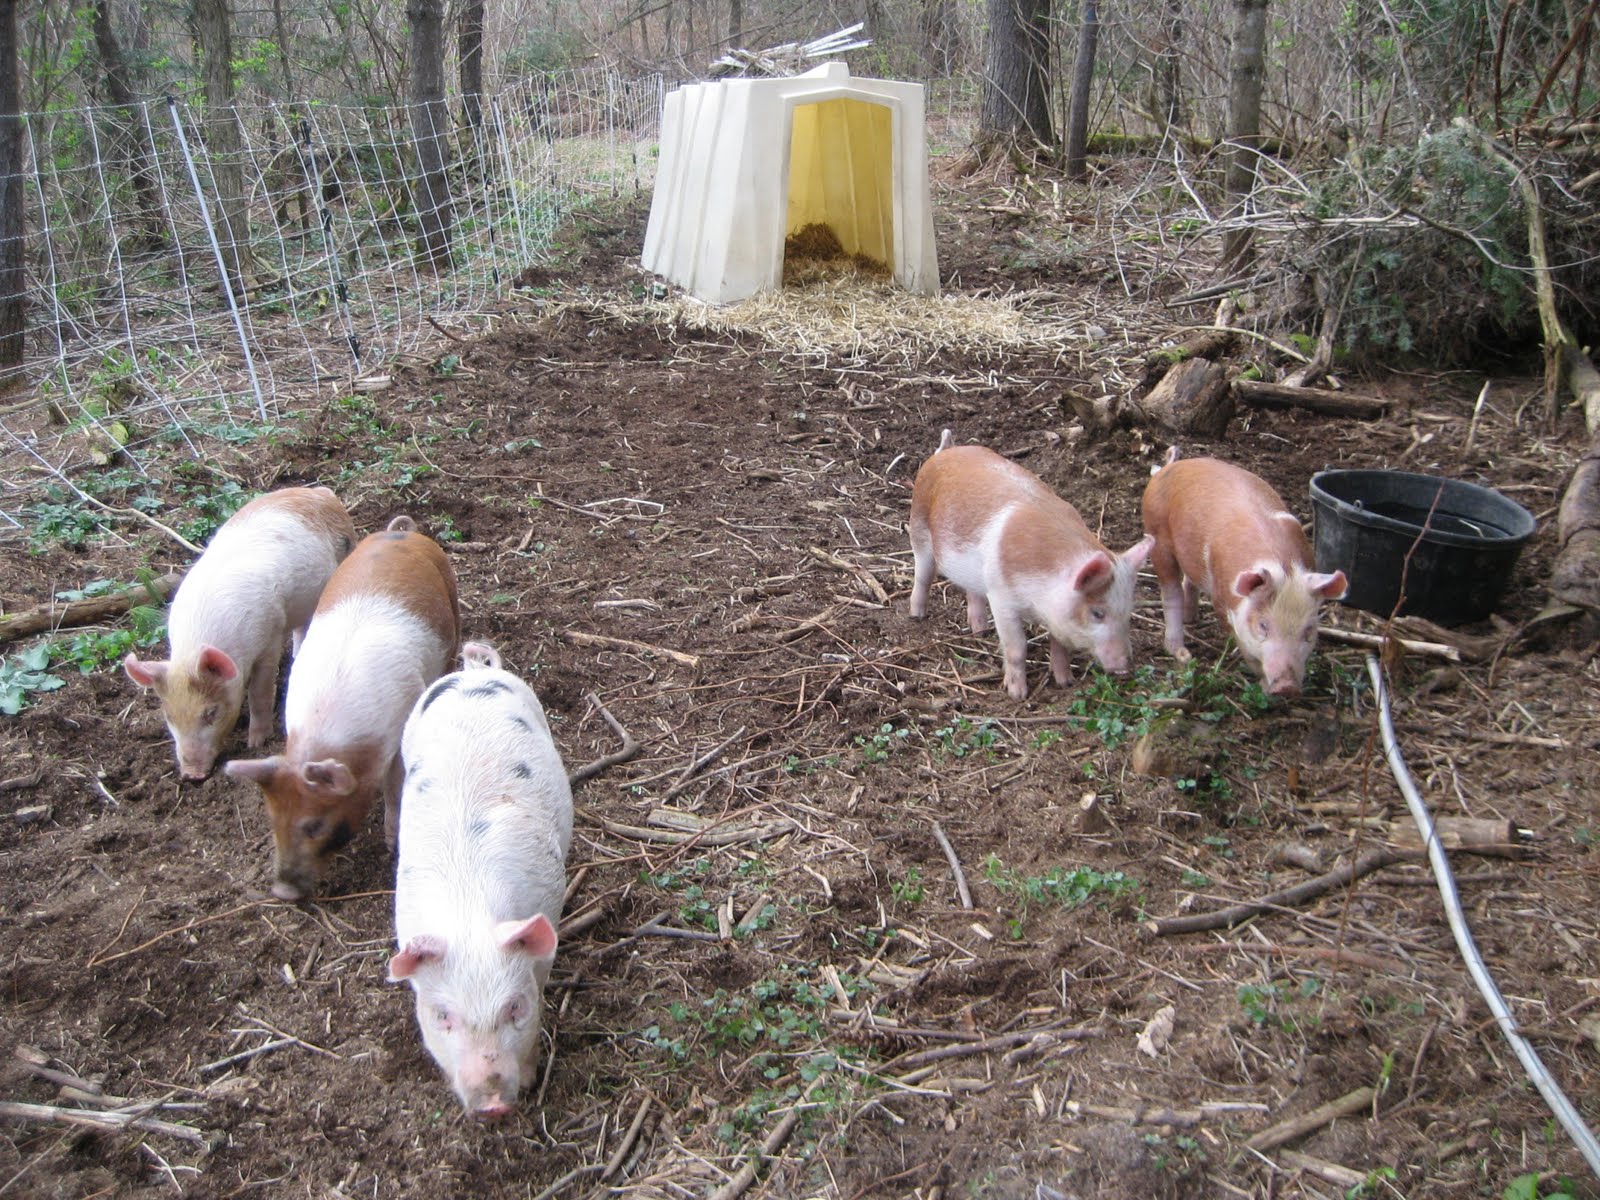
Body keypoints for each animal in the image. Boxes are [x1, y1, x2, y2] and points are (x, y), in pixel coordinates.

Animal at [123, 486, 356, 781]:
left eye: (211, 712)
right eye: (169, 717)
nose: (191, 774)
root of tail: (320, 492)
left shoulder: (269, 638)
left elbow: (259, 691)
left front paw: (255, 743)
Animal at [225, 515, 460, 901]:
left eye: (314, 825)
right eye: (273, 820)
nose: (282, 892)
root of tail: (402, 532)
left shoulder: (397, 734)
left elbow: (395, 790)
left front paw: (392, 847)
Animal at [910, 430, 1155, 700]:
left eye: (1129, 610)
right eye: (1097, 613)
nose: (1125, 667)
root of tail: (946, 451)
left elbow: (1060, 646)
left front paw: (1065, 683)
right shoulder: (1001, 598)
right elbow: (1017, 648)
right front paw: (1017, 695)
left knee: (972, 592)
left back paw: (980, 631)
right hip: (918, 525)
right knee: (923, 574)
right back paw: (917, 615)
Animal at [1141, 448, 1348, 697]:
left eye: (1308, 630)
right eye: (1263, 625)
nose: (1287, 687)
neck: (1283, 568)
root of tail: (1168, 467)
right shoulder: (1223, 601)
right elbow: (1247, 650)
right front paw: (1264, 686)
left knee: (1190, 579)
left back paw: (1191, 618)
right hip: (1157, 536)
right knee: (1170, 592)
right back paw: (1181, 653)